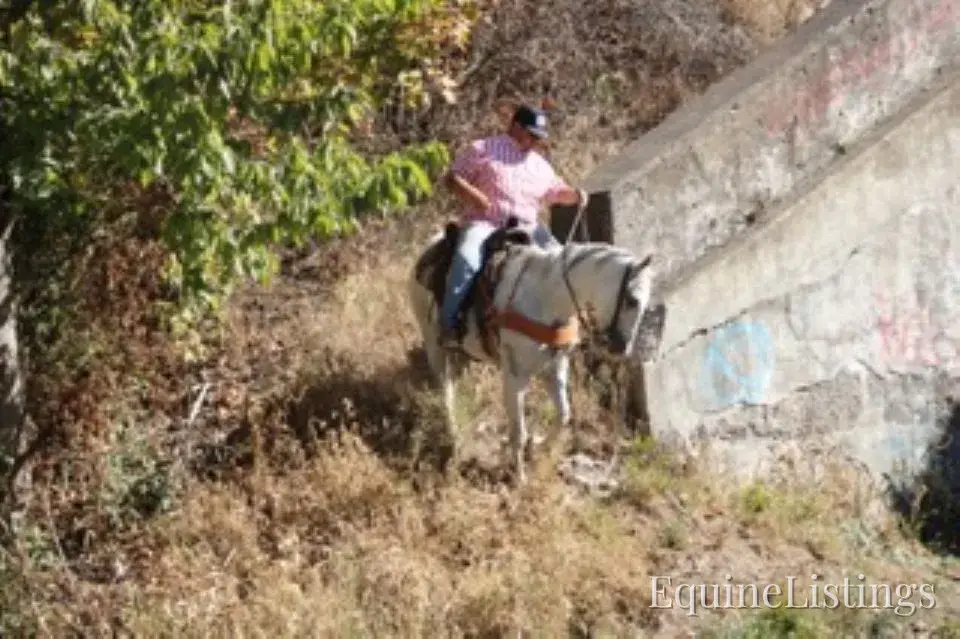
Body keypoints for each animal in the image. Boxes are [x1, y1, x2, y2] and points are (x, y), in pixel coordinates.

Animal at [406, 204, 657, 484]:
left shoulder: (554, 368)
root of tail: (429, 246)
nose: (621, 348)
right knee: (446, 389)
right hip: (433, 344)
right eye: (633, 300)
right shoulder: (515, 376)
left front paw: (537, 448)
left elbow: (563, 415)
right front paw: (519, 477)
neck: (546, 297)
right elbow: (518, 431)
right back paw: (454, 435)